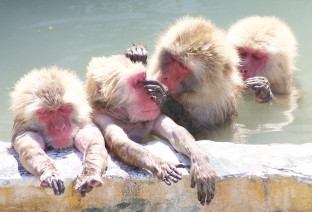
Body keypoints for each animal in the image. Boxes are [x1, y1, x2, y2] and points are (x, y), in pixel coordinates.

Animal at [10, 66, 108, 197]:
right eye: (47, 112)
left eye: (64, 108)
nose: (60, 127)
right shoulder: (24, 131)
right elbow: (30, 150)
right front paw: (50, 173)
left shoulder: (85, 124)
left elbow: (95, 144)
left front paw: (90, 174)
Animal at [85, 54, 217, 205]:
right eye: (137, 83)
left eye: (144, 80)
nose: (150, 97)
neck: (127, 118)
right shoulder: (101, 118)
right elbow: (121, 142)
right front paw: (160, 165)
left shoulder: (153, 114)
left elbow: (176, 131)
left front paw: (201, 164)